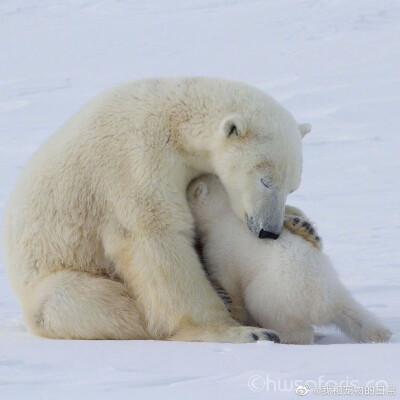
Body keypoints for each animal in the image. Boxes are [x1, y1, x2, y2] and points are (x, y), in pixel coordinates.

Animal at [4, 76, 312, 342]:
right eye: (265, 180)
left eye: (292, 186)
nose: (268, 231)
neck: (176, 120)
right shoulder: (136, 159)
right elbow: (157, 237)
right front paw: (243, 331)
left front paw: (299, 221)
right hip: (54, 283)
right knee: (99, 302)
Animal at [186, 175, 392, 344]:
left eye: (189, 188)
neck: (224, 214)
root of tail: (324, 305)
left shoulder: (222, 249)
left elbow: (230, 282)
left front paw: (228, 301)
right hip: (335, 287)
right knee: (358, 316)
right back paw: (382, 334)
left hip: (273, 296)